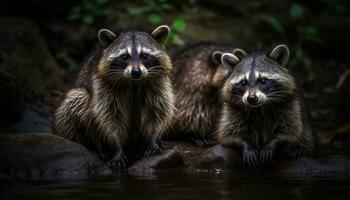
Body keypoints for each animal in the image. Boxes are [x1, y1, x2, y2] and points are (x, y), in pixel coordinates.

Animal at [54, 24, 174, 169]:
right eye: (125, 56)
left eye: (144, 55)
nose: (136, 72)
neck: (134, 82)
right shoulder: (103, 86)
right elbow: (109, 117)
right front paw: (117, 147)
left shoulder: (158, 84)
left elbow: (158, 110)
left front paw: (154, 138)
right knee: (78, 98)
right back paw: (93, 145)